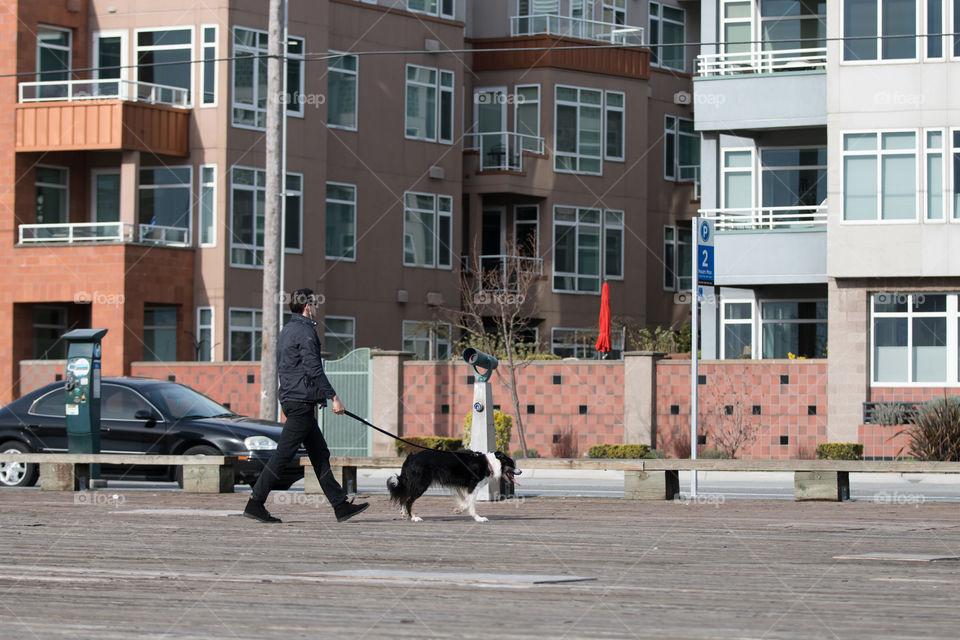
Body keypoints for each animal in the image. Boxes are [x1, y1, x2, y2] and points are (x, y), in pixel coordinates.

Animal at [386, 448, 520, 524]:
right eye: (512, 465)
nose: (521, 471)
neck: (490, 464)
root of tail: (410, 457)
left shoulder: (460, 487)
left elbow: (465, 502)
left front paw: (459, 509)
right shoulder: (472, 487)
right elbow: (471, 504)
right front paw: (478, 518)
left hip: (413, 484)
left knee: (404, 498)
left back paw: (404, 514)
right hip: (420, 485)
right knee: (409, 500)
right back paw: (414, 517)